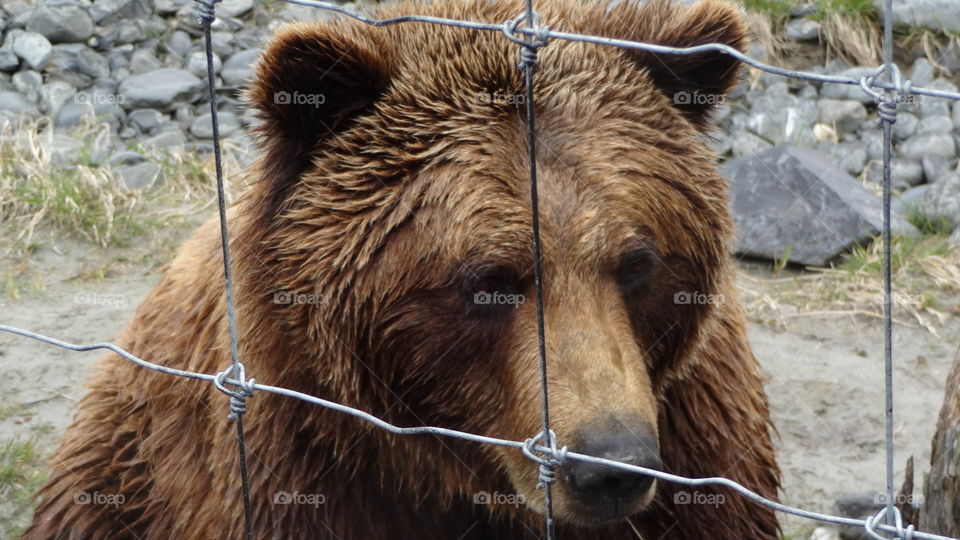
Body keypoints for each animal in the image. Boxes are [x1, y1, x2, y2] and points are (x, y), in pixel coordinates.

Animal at [24, 0, 780, 538]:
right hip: (124, 465)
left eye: (637, 262)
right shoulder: (300, 462)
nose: (609, 466)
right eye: (489, 280)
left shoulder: (702, 447)